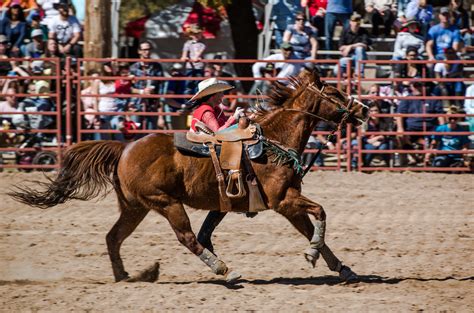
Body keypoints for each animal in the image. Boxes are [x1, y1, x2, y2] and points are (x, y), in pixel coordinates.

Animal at [9, 70, 368, 282]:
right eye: (336, 93)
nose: (364, 110)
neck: (274, 141)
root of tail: (124, 147)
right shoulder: (284, 201)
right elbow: (320, 214)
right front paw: (313, 254)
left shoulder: (286, 203)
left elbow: (312, 230)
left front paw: (344, 268)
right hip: (165, 203)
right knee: (187, 237)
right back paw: (224, 270)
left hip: (135, 207)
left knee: (114, 237)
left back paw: (127, 277)